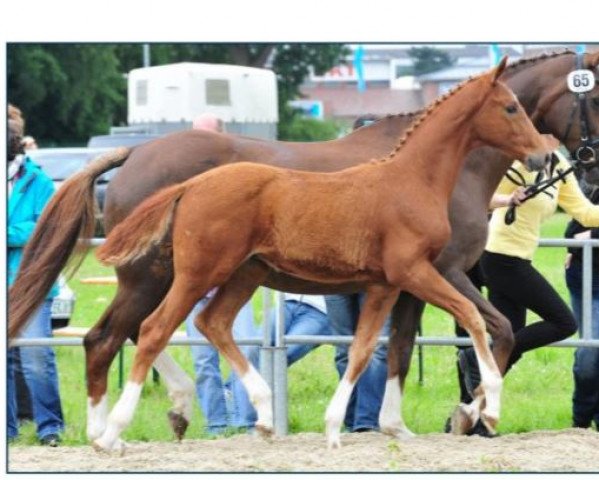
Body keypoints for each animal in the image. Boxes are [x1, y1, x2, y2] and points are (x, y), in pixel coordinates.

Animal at [9, 51, 599, 442]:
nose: (568, 165)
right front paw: (472, 411)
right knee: (124, 334)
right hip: (160, 274)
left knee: (122, 334)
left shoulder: (406, 282)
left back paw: (146, 419)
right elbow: (494, 329)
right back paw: (121, 425)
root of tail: (132, 155)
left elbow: (398, 348)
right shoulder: (443, 271)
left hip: (191, 275)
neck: (439, 171)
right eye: (590, 94)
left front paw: (403, 424)